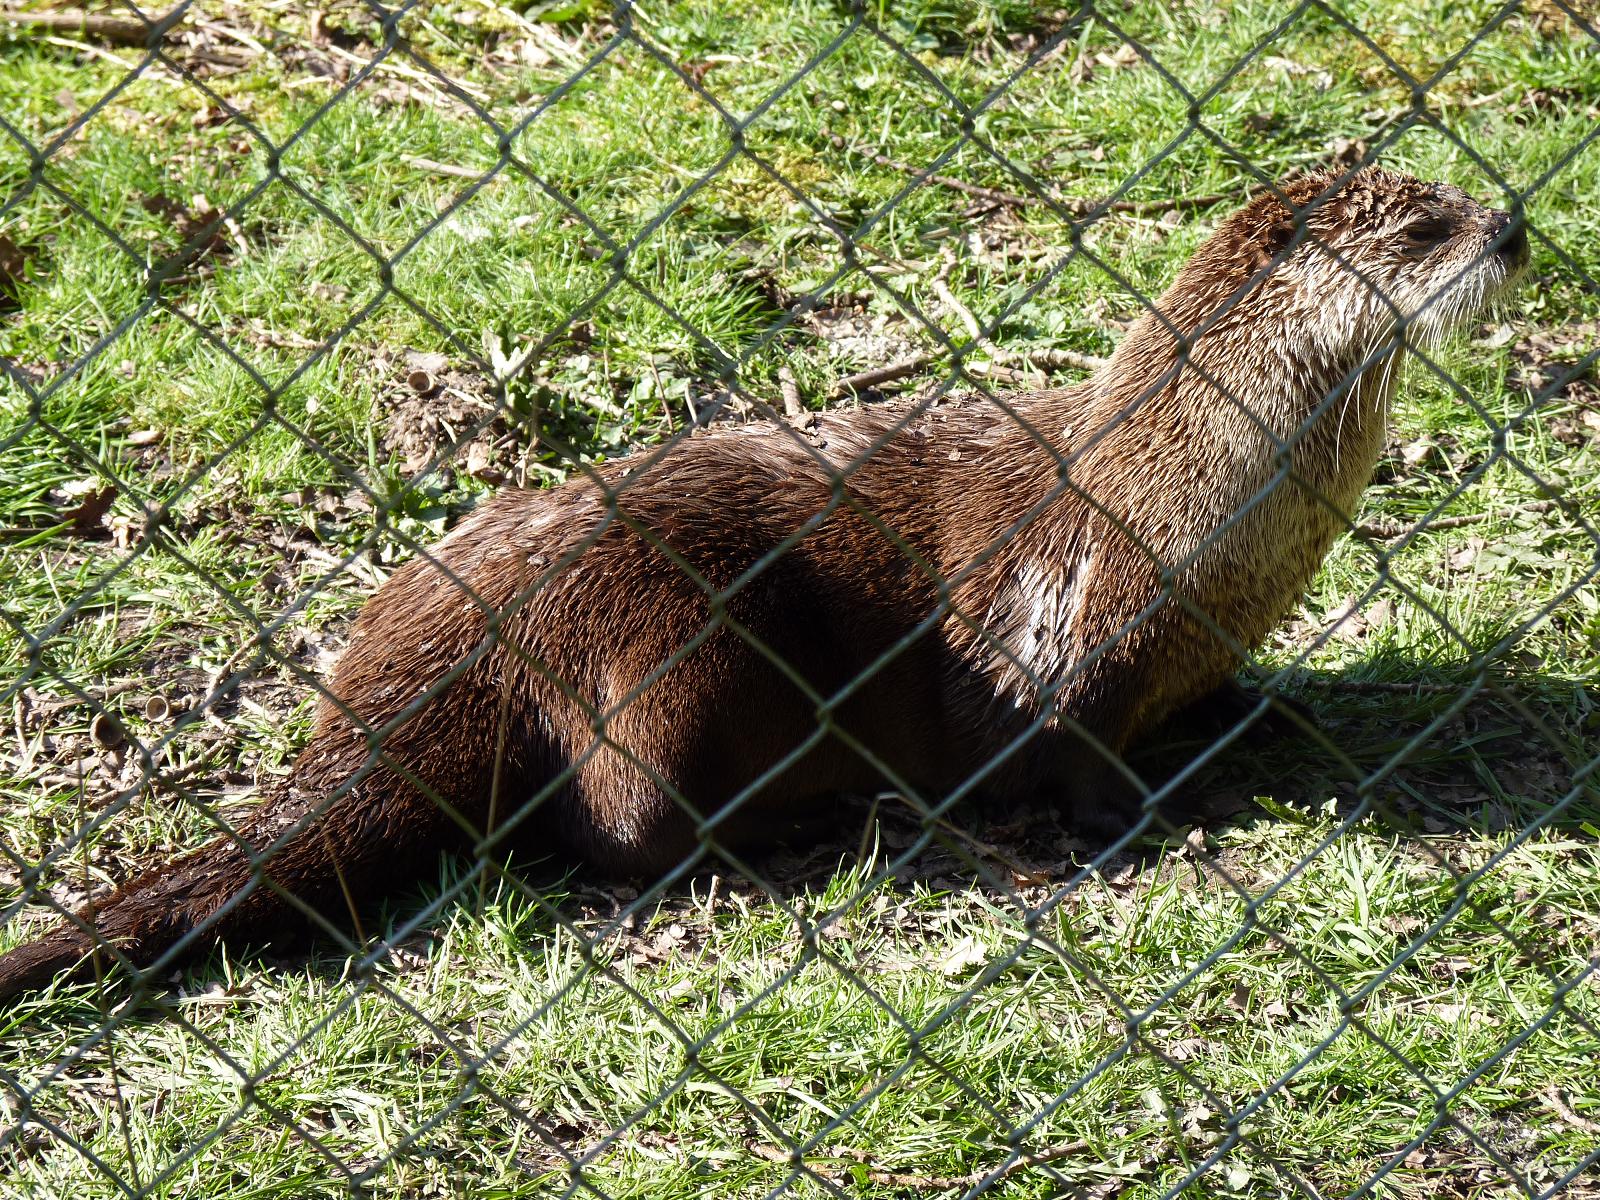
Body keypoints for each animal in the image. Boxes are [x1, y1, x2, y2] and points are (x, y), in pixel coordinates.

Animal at [0, 166, 1528, 1001]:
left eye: (1460, 198)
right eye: (1421, 231)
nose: (1510, 224)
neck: (1203, 499)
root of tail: (436, 650)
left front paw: (1261, 711)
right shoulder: (1078, 619)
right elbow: (1066, 742)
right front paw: (1137, 820)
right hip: (667, 636)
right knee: (616, 828)